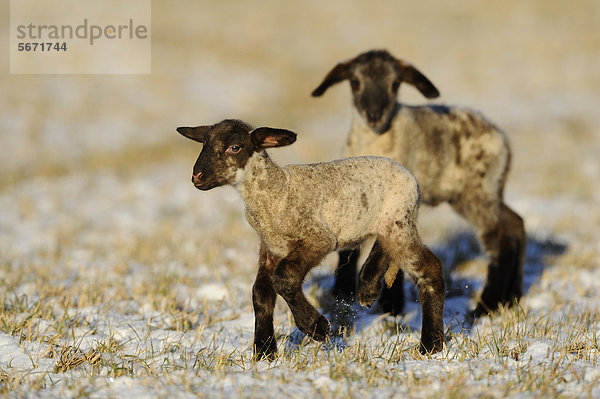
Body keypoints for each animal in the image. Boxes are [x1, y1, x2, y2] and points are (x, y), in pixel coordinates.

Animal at [176, 119, 442, 362]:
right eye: (204, 144)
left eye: (234, 147)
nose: (197, 176)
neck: (277, 191)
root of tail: (411, 177)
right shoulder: (272, 248)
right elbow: (260, 293)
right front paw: (264, 352)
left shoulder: (317, 239)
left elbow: (284, 279)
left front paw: (317, 328)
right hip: (389, 223)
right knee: (384, 248)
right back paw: (368, 287)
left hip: (398, 221)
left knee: (431, 269)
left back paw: (431, 346)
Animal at [312, 50, 524, 318]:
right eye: (355, 82)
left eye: (395, 84)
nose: (374, 115)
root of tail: (502, 140)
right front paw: (343, 290)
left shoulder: (400, 201)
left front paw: (385, 301)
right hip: (481, 193)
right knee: (516, 223)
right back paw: (513, 296)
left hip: (478, 192)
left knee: (501, 240)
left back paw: (485, 307)